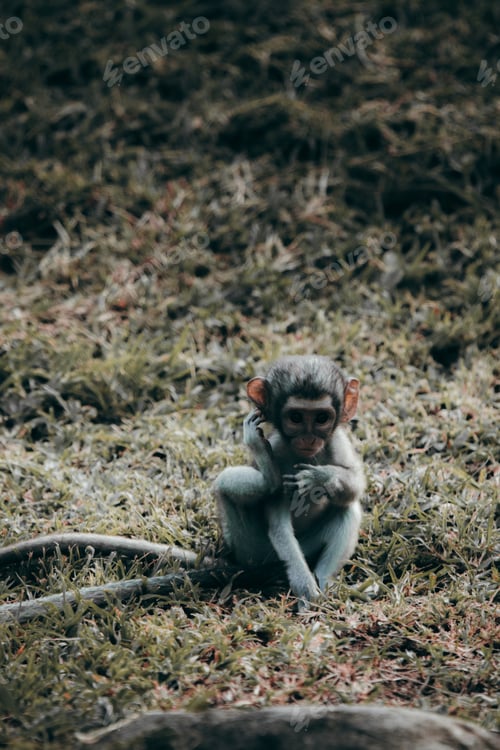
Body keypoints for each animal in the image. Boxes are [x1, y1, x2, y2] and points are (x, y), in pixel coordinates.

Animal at [214, 355, 365, 608]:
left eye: (321, 418)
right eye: (296, 418)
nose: (308, 438)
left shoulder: (337, 442)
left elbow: (356, 484)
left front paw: (320, 478)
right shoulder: (277, 448)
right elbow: (279, 525)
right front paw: (304, 588)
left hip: (308, 544)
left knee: (347, 509)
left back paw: (325, 580)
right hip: (250, 548)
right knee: (225, 484)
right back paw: (267, 474)